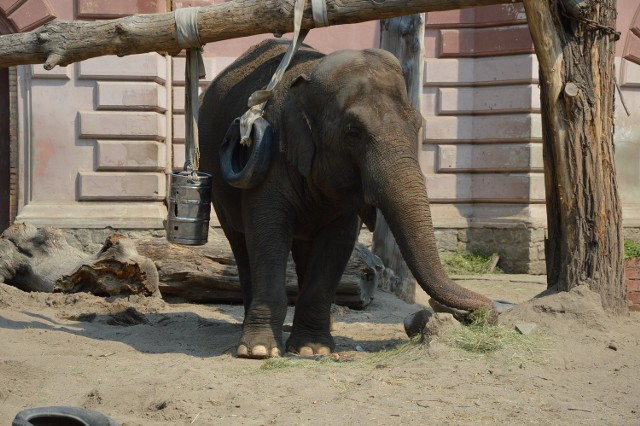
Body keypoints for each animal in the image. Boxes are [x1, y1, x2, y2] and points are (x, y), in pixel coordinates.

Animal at [199, 40, 496, 360]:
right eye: (353, 132)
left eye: (417, 125)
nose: (483, 315)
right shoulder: (273, 156)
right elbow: (267, 231)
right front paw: (259, 351)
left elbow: (338, 241)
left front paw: (312, 349)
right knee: (241, 244)